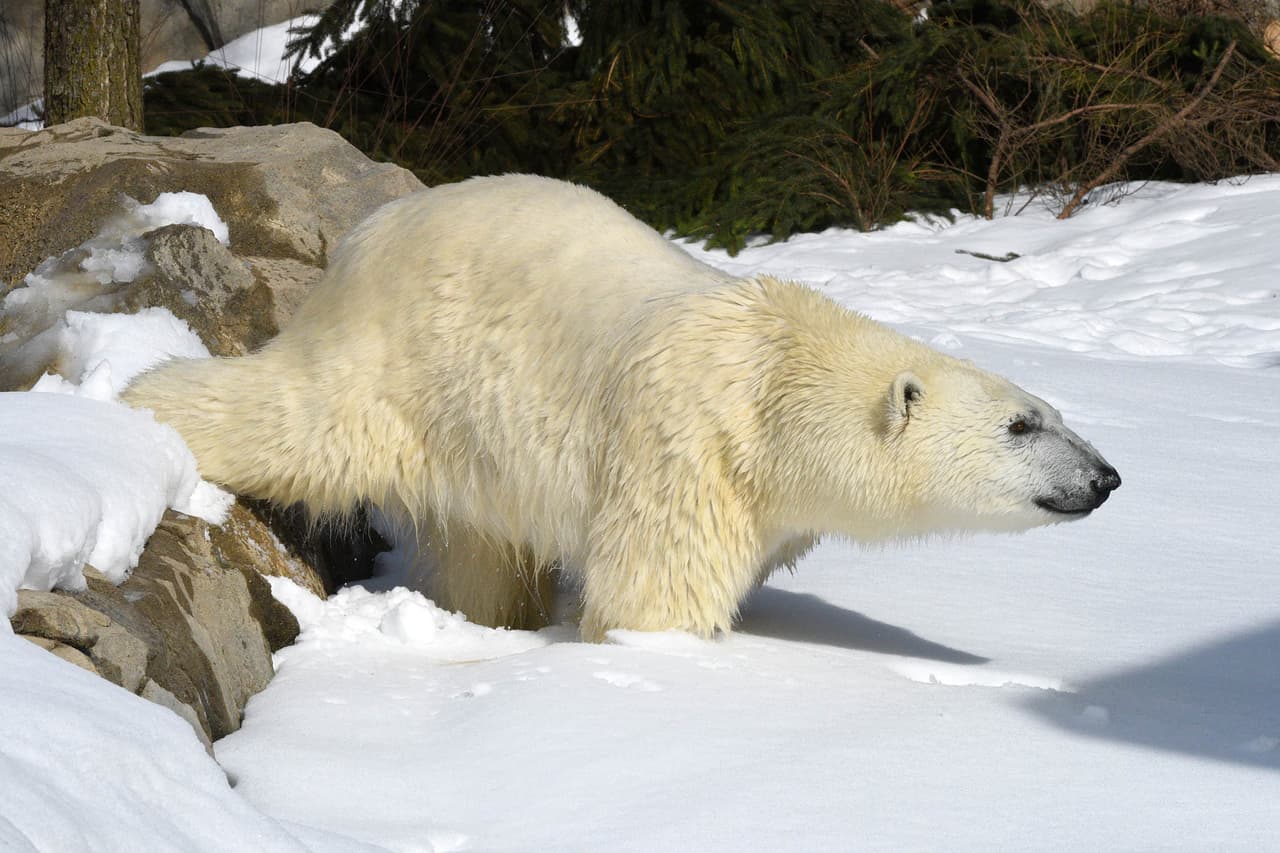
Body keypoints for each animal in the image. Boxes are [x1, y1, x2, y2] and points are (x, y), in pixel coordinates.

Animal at [123, 174, 1120, 641]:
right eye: (1021, 425)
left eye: (1049, 410)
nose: (1107, 477)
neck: (774, 370)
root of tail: (371, 226)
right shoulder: (688, 451)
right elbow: (656, 592)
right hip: (396, 354)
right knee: (298, 421)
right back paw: (134, 403)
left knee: (486, 545)